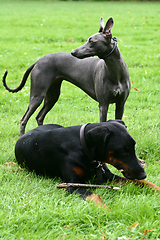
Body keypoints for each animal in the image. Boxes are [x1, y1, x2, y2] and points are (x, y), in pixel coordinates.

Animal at [14, 121, 159, 209]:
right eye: (123, 150)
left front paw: (155, 187)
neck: (82, 145)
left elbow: (140, 182)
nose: (143, 174)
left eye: (133, 146)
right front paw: (107, 211)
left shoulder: (107, 175)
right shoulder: (71, 185)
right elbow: (95, 195)